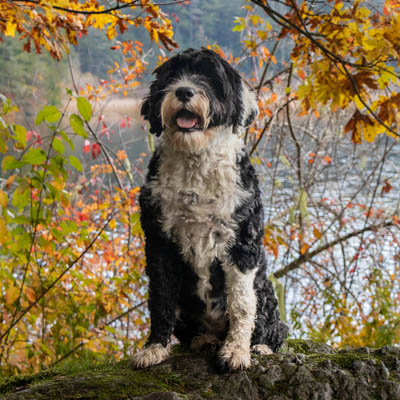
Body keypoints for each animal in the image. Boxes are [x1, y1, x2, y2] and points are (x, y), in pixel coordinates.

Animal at [131, 48, 288, 370]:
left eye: (211, 77)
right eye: (172, 75)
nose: (184, 91)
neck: (196, 161)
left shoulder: (242, 244)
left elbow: (241, 304)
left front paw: (236, 351)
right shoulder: (159, 242)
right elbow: (161, 298)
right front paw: (154, 347)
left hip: (265, 290)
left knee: (273, 326)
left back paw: (259, 346)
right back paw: (204, 340)